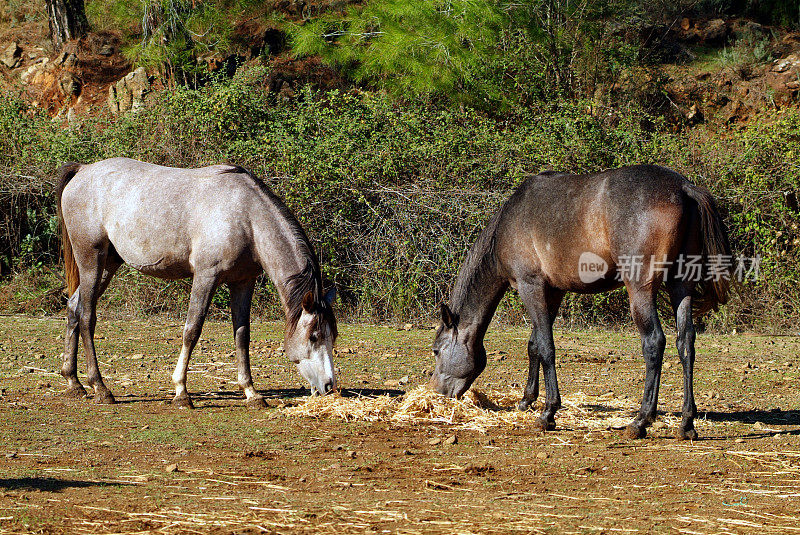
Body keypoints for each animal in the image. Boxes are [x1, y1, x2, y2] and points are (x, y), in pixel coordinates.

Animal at [55, 157, 338, 408]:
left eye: (333, 336)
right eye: (313, 336)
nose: (329, 386)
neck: (246, 216)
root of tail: (83, 170)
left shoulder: (243, 282)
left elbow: (242, 335)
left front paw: (251, 392)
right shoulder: (205, 277)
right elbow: (192, 330)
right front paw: (181, 391)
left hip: (108, 264)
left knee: (73, 307)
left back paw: (74, 383)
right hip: (91, 261)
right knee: (87, 317)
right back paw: (100, 388)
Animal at [432, 166, 732, 440]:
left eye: (436, 350)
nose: (437, 392)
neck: (509, 223)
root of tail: (683, 187)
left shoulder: (531, 287)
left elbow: (546, 347)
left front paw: (549, 413)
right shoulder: (553, 292)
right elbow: (534, 345)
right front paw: (527, 400)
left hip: (641, 290)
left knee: (654, 343)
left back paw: (640, 421)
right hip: (681, 285)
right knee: (686, 343)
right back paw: (687, 423)